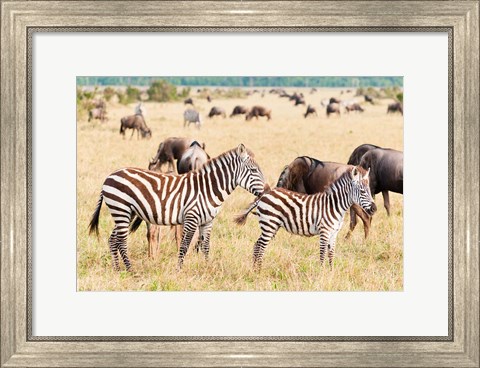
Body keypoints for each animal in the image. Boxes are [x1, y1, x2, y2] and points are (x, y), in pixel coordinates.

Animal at [87, 144, 266, 270]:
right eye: (253, 170)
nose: (266, 191)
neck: (208, 189)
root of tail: (110, 176)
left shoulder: (207, 221)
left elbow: (206, 246)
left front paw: (208, 267)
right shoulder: (192, 218)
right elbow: (184, 245)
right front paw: (178, 269)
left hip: (126, 213)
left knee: (113, 239)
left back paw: (117, 269)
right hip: (121, 209)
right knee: (121, 241)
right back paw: (130, 270)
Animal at [234, 167, 376, 270]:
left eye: (369, 191)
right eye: (363, 192)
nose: (374, 209)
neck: (334, 206)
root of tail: (265, 194)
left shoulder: (333, 233)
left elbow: (331, 254)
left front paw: (331, 273)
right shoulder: (324, 232)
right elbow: (322, 254)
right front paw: (321, 274)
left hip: (271, 226)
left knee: (257, 245)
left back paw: (255, 270)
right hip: (269, 225)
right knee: (261, 247)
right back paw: (259, 270)